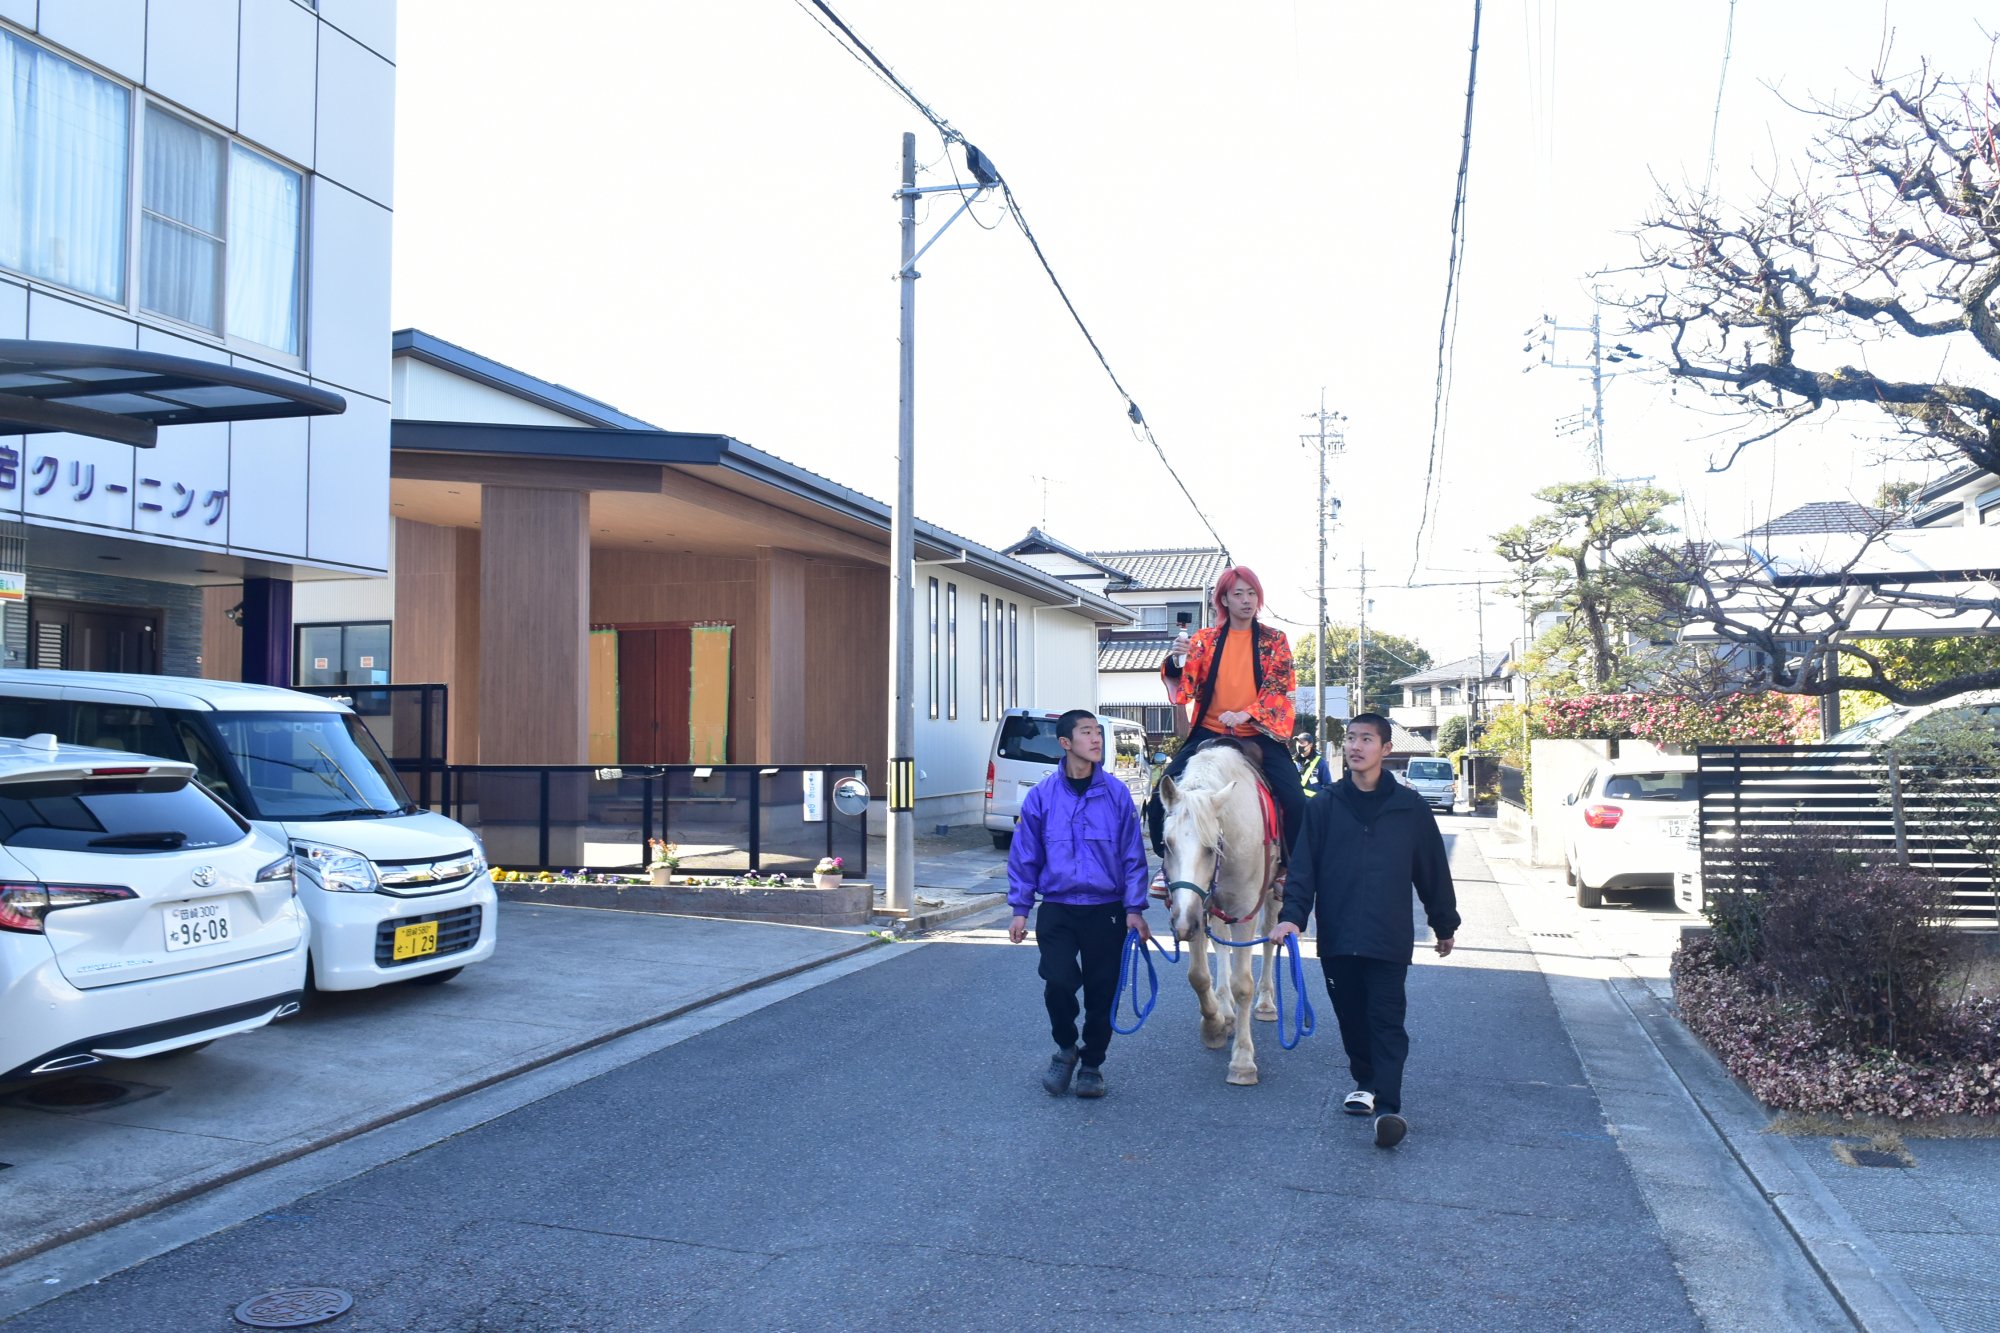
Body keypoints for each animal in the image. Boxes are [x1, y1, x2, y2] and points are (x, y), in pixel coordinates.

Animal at [1160, 740, 1280, 1088]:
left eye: (1212, 846)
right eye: (1166, 844)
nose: (1182, 925)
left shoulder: (1243, 910)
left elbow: (1243, 984)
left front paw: (1242, 1060)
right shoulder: (1196, 906)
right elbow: (1199, 976)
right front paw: (1213, 1024)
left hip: (1272, 896)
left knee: (1270, 940)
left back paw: (1266, 1003)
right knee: (1221, 944)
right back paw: (1224, 1010)